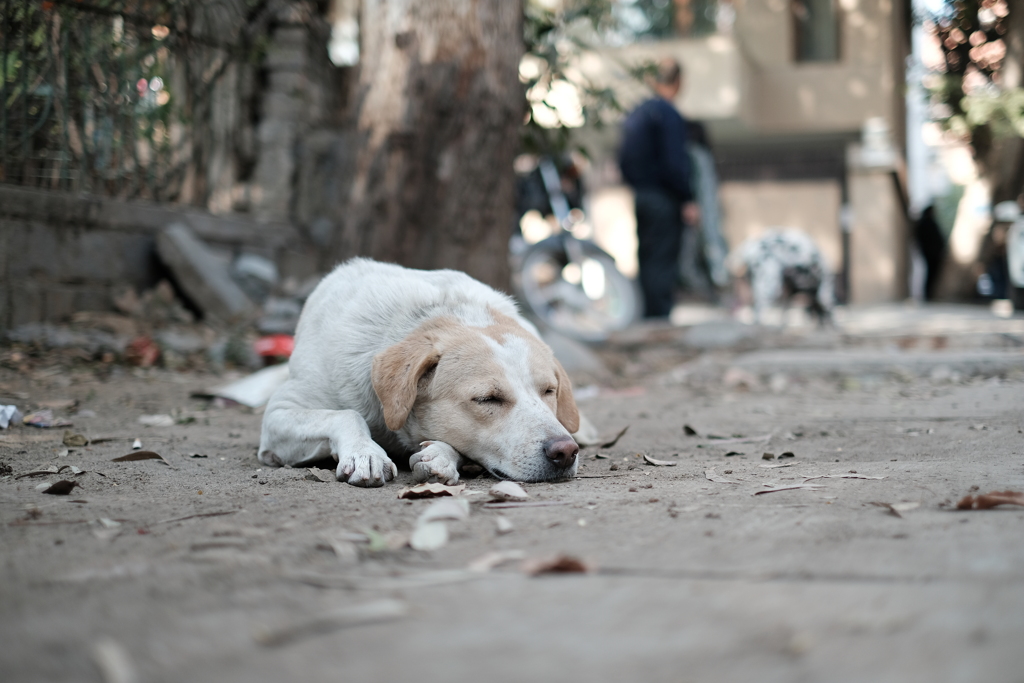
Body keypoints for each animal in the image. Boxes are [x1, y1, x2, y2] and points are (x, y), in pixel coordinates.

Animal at [256, 255, 581, 485]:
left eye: (549, 391)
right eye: (487, 399)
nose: (565, 451)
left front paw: (440, 456)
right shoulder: (278, 416)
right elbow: (346, 415)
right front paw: (365, 452)